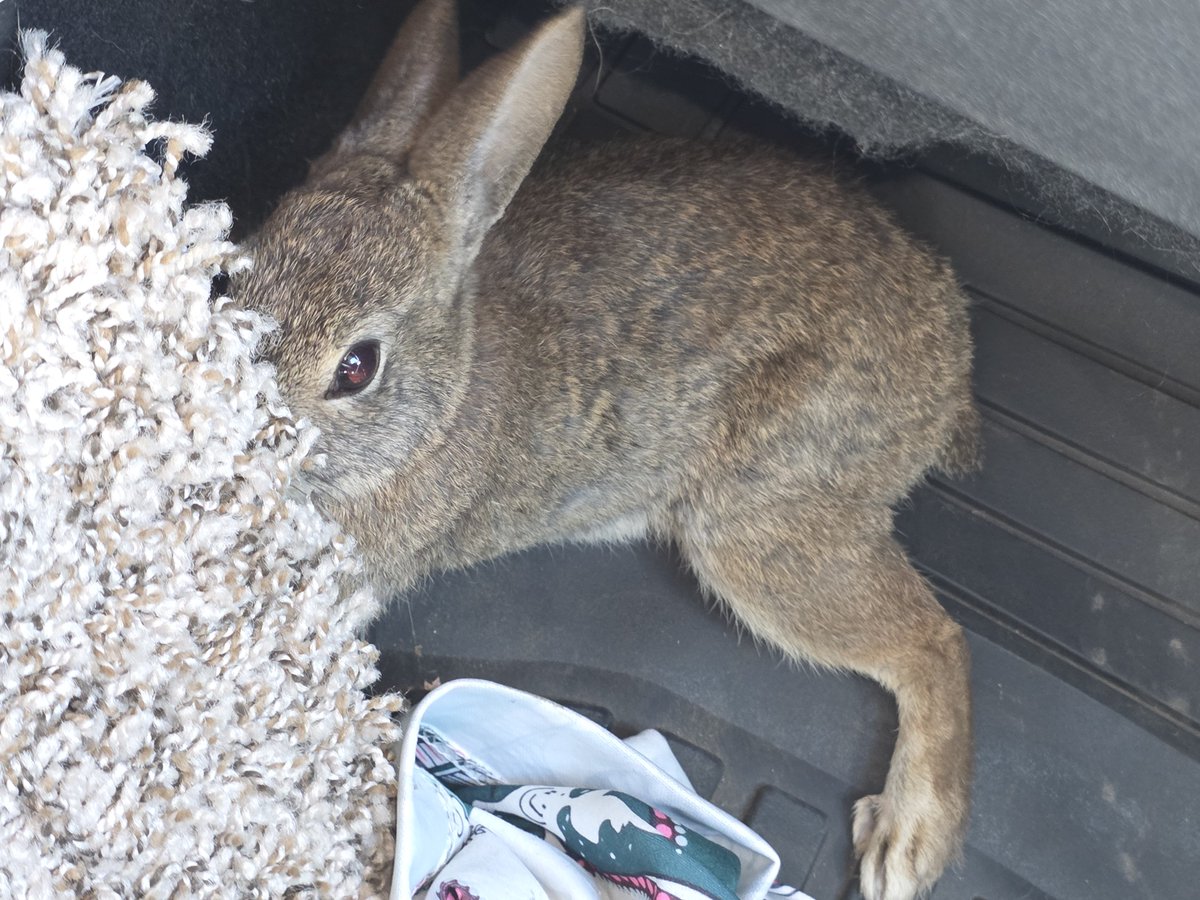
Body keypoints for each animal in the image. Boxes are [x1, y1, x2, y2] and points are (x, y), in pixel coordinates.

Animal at [236, 1, 980, 898]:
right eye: (235, 270)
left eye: (356, 367)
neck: (438, 402)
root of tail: (950, 358)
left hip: (761, 525)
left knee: (934, 642)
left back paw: (908, 836)